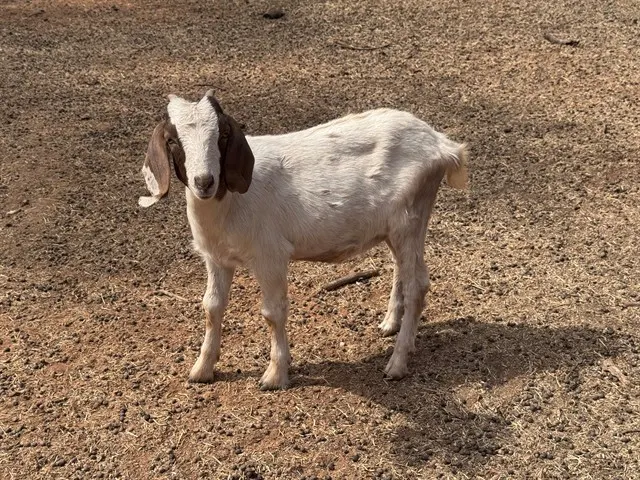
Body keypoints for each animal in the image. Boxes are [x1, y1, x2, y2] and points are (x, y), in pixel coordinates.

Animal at [139, 90, 468, 390]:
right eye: (172, 140)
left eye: (222, 135)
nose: (205, 181)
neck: (229, 203)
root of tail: (442, 145)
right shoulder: (216, 258)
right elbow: (212, 307)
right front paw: (202, 369)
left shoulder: (270, 255)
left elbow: (273, 313)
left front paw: (275, 375)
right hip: (400, 226)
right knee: (401, 268)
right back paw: (390, 324)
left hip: (409, 219)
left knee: (418, 286)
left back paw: (397, 363)